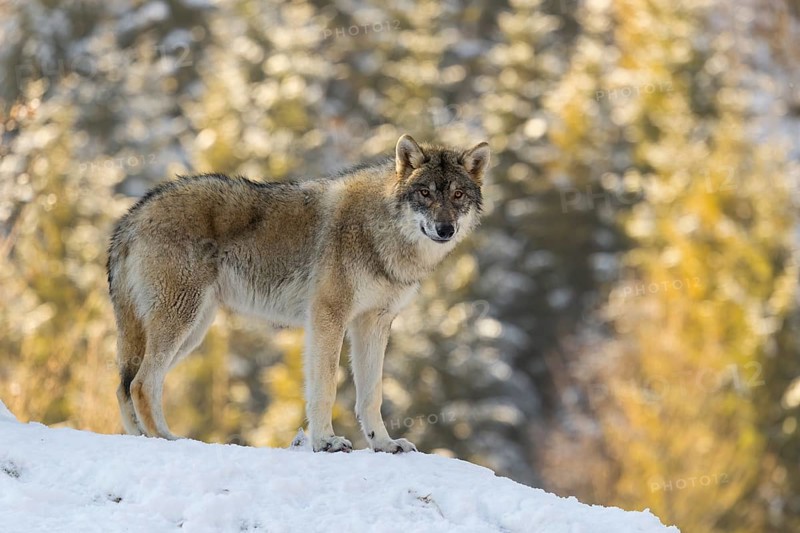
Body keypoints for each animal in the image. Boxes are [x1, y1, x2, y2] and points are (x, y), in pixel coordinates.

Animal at [107, 134, 490, 453]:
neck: (379, 232)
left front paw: (383, 444)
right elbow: (325, 388)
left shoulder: (374, 323)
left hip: (192, 331)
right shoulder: (327, 316)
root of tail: (132, 215)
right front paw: (325, 441)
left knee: (125, 386)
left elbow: (371, 395)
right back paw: (166, 439)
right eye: (425, 193)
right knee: (141, 384)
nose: (445, 228)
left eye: (458, 195)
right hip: (181, 322)